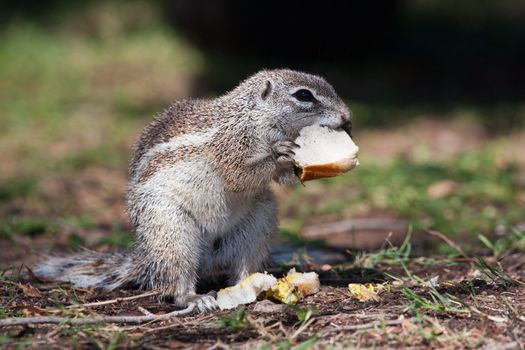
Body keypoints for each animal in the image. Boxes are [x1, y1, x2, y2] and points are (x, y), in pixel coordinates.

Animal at [33, 68, 352, 312]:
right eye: (303, 95)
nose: (348, 118)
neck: (253, 115)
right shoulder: (231, 145)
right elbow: (238, 175)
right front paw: (281, 155)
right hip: (171, 231)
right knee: (176, 280)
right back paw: (195, 298)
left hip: (259, 222)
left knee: (242, 262)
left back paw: (252, 283)